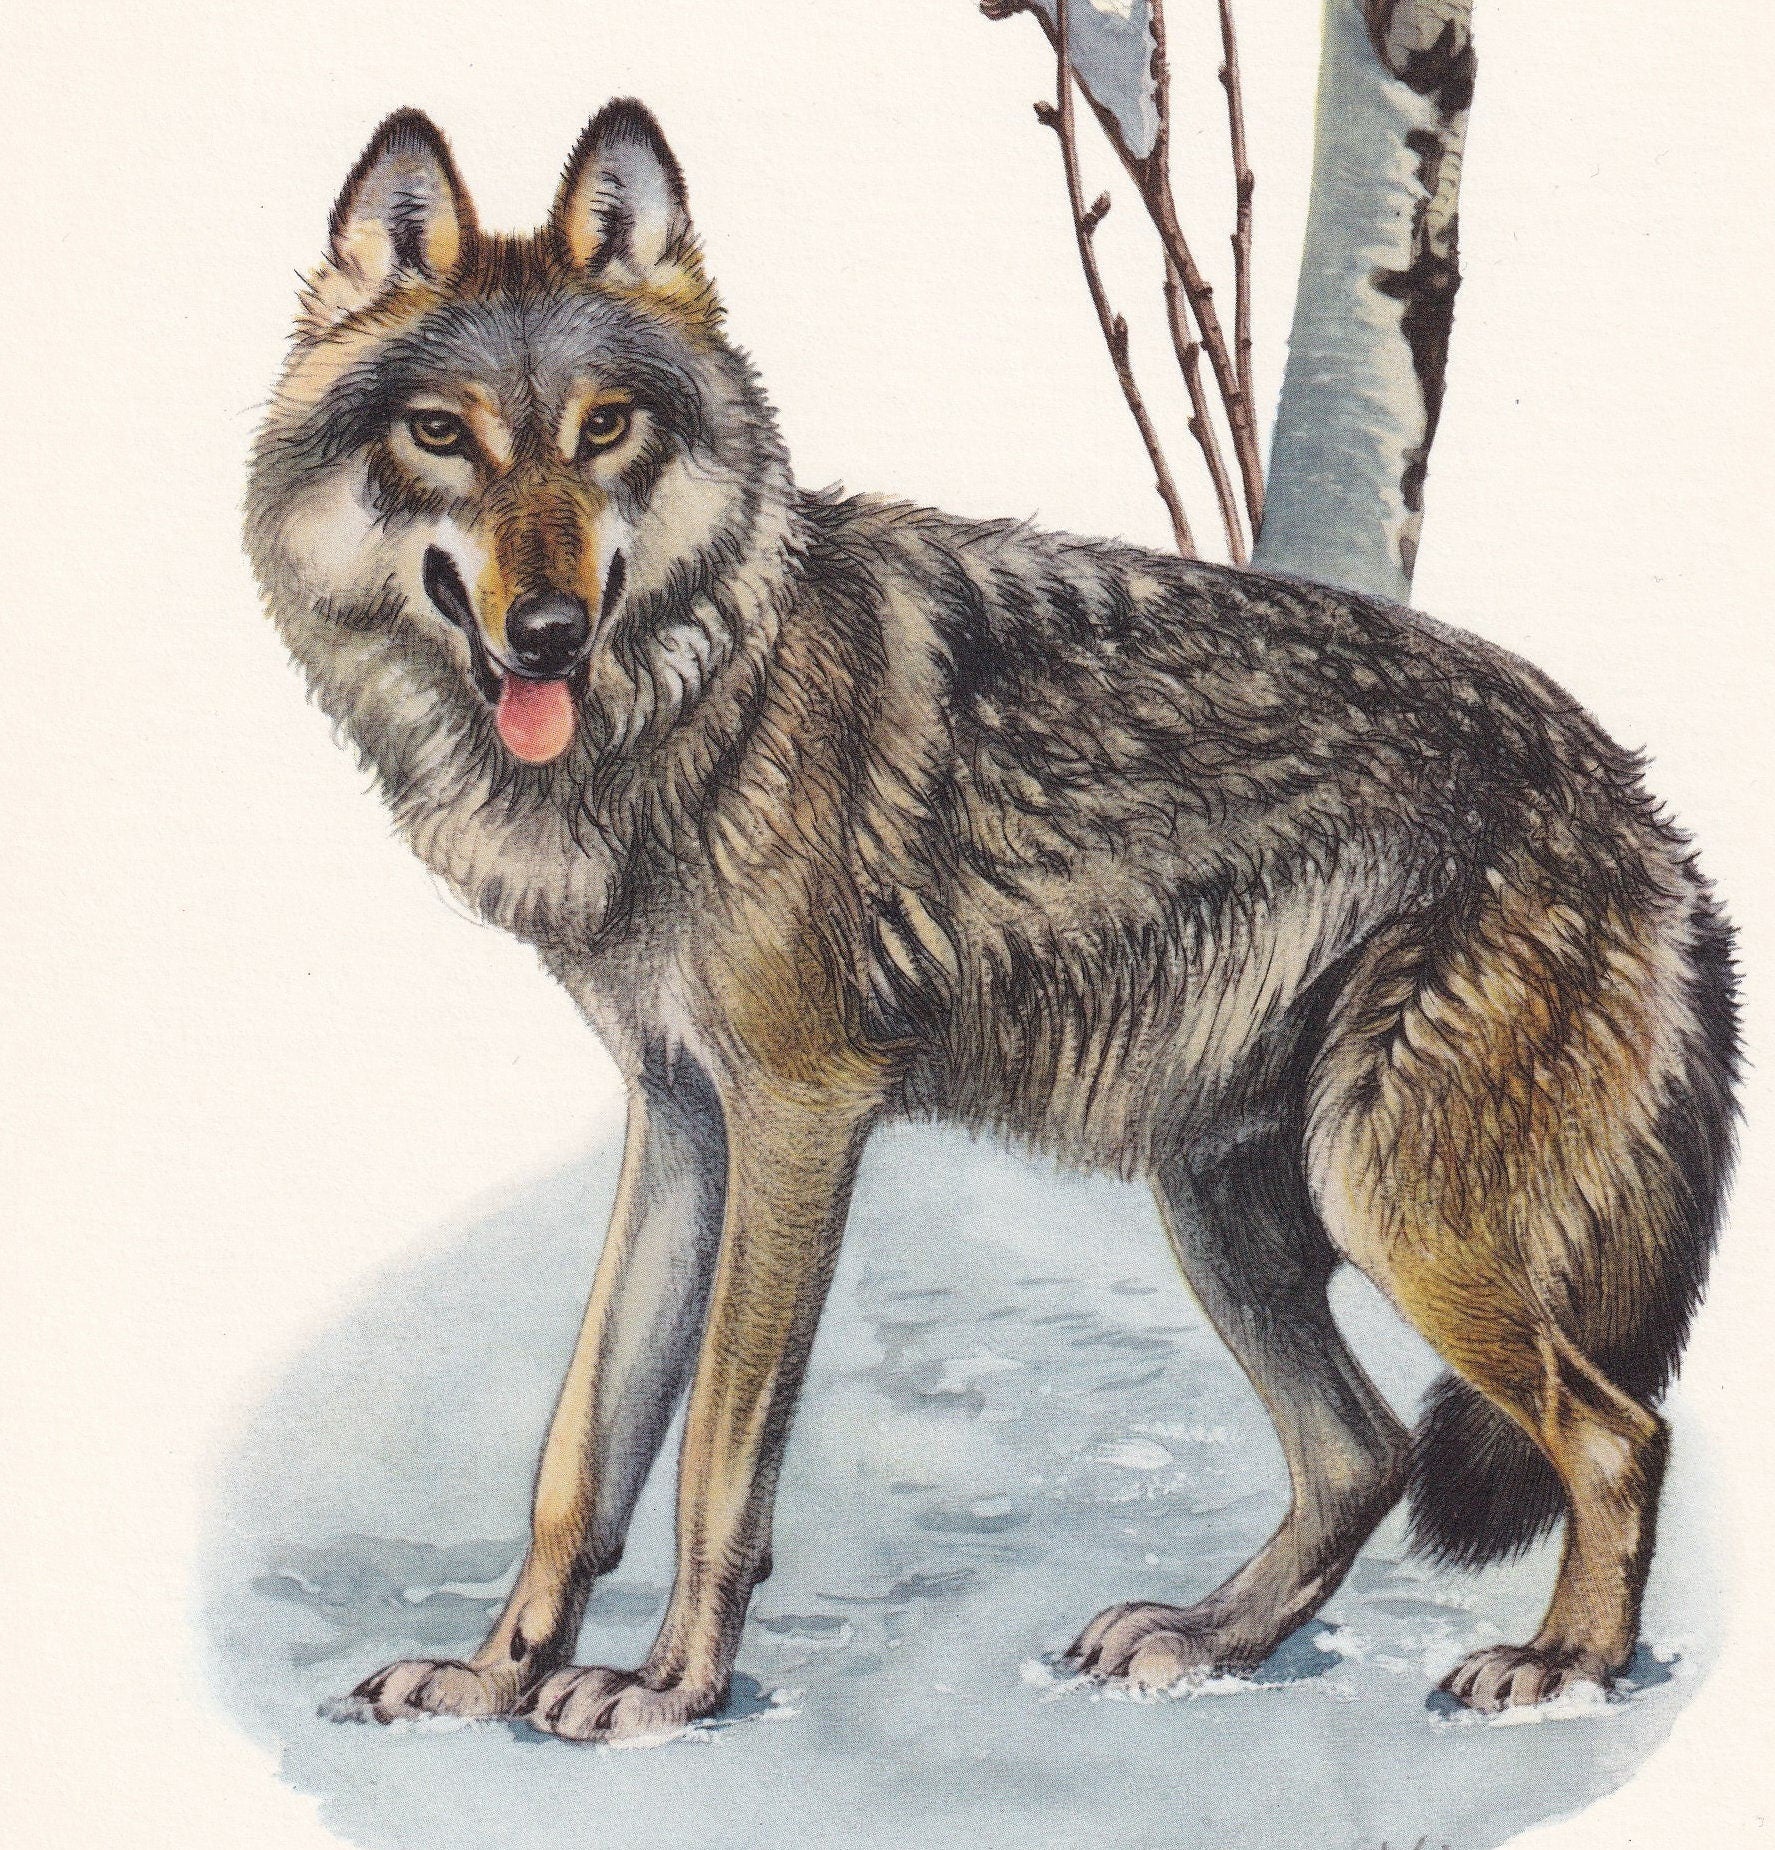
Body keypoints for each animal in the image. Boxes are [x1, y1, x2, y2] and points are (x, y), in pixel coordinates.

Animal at [245, 102, 1739, 1744]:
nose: (550, 633)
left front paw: (667, 1687)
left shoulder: (798, 1113)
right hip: (1222, 1202)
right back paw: (1204, 1638)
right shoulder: (681, 1117)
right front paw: (491, 1676)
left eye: (604, 430)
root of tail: (1638, 807)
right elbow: (582, 1449)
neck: (700, 700)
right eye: (441, 435)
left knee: (1613, 1432)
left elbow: (714, 1452)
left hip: (1385, 1205)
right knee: (1364, 1454)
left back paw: (1559, 1667)